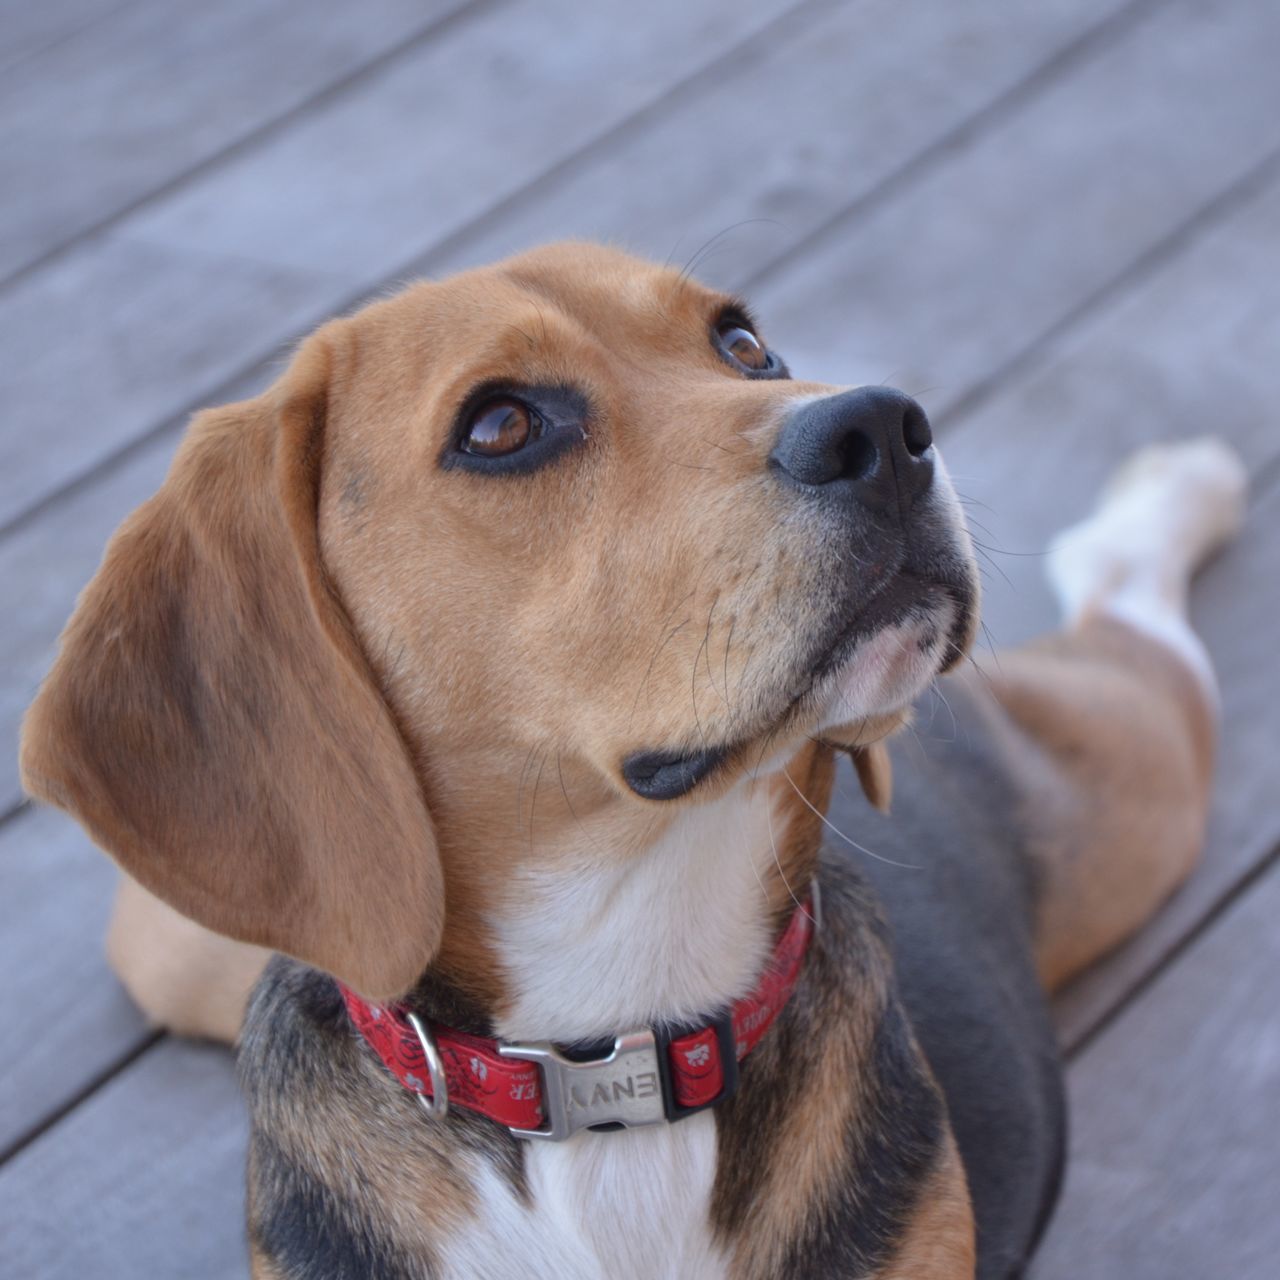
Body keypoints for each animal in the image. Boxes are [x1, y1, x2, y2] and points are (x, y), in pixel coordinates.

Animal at [20, 241, 1244, 1280]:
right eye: (500, 425)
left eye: (742, 344)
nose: (884, 427)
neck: (613, 1051)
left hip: (1123, 790)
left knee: (1130, 598)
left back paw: (1179, 487)